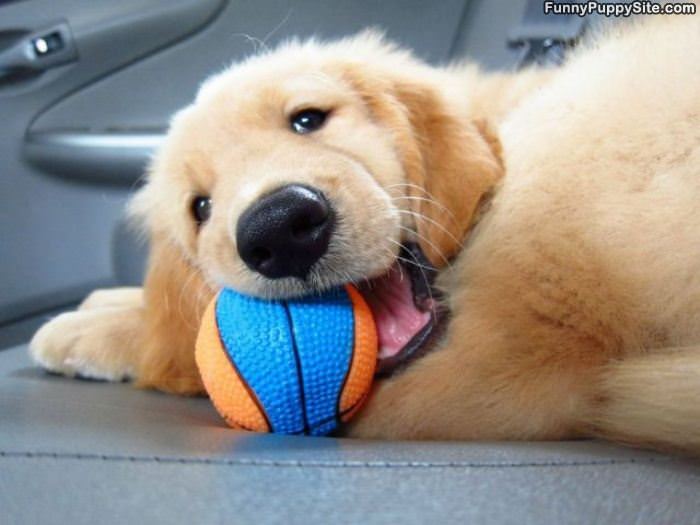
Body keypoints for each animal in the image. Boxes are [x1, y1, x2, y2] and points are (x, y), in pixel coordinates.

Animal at [30, 15, 700, 450]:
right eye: (200, 207)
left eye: (307, 119)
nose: (281, 229)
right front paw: (102, 310)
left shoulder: (521, 360)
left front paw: (91, 327)